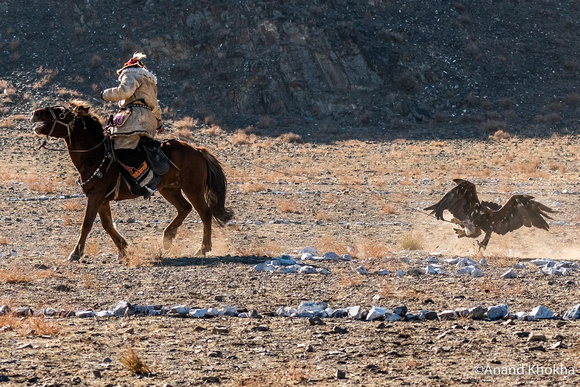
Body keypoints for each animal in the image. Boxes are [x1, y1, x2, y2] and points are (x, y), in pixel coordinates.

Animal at [30, 101, 233, 262]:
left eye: (61, 112)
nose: (35, 113)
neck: (95, 155)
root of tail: (198, 151)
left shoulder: (95, 196)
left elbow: (87, 224)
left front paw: (76, 253)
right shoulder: (102, 198)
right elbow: (107, 224)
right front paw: (123, 248)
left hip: (193, 189)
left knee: (205, 213)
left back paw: (202, 248)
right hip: (169, 189)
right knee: (184, 208)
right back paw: (168, 238)